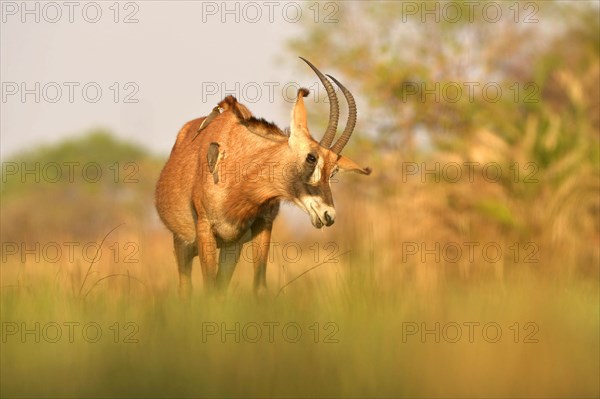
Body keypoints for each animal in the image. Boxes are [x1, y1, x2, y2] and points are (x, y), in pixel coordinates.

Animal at [155, 57, 370, 296]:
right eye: (311, 157)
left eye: (334, 171)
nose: (328, 215)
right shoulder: (204, 229)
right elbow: (209, 289)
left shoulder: (262, 226)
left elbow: (258, 287)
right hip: (183, 245)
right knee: (186, 288)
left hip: (230, 248)